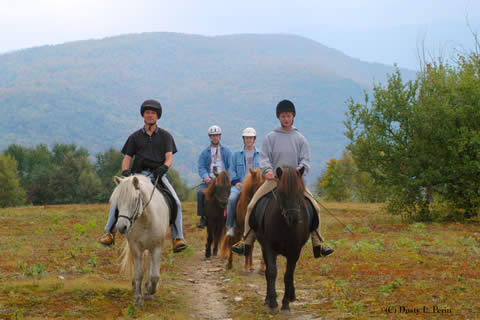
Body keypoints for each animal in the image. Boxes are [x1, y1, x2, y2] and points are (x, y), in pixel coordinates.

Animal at [112, 174, 171, 304]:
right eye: (118, 201)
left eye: (134, 200)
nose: (121, 227)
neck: (146, 219)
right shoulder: (136, 248)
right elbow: (139, 273)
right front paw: (138, 298)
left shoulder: (157, 247)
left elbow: (155, 275)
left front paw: (151, 291)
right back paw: (136, 286)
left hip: (150, 247)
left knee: (149, 263)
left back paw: (148, 289)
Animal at [253, 166, 314, 314]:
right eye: (281, 192)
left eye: (300, 191)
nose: (294, 218)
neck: (285, 226)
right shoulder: (269, 247)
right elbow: (271, 272)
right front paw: (273, 303)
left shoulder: (295, 251)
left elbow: (288, 275)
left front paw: (285, 304)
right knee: (268, 272)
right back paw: (268, 299)